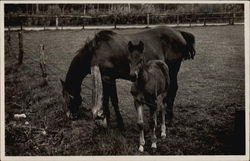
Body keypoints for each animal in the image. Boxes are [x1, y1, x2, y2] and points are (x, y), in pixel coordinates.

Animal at [60, 24, 195, 128]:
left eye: (69, 97)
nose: (70, 116)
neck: (95, 51)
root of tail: (178, 33)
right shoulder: (107, 78)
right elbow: (108, 99)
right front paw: (106, 119)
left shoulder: (108, 78)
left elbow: (113, 100)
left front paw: (119, 123)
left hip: (173, 69)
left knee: (173, 88)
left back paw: (169, 117)